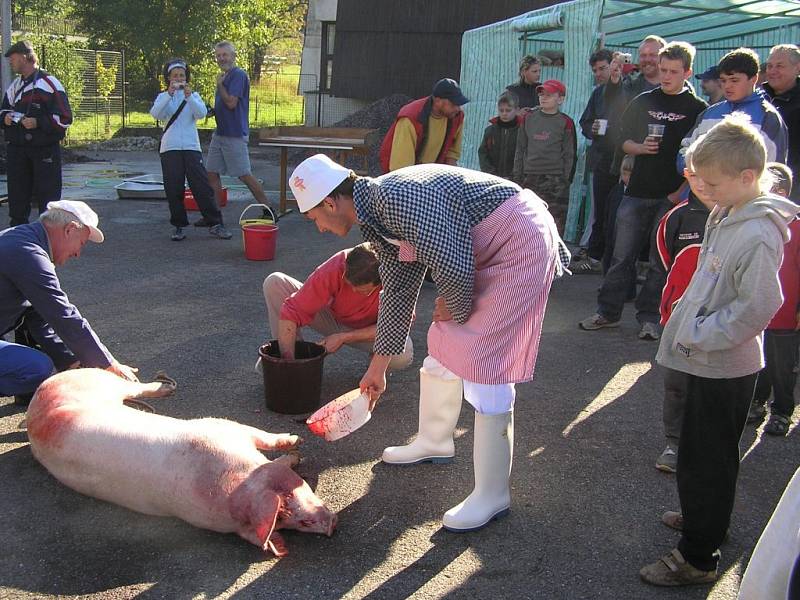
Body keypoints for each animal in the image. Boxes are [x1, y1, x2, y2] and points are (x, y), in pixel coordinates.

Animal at [25, 368, 334, 556]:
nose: (332, 524)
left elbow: (265, 440)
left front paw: (297, 444)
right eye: (296, 521)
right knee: (133, 385)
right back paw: (164, 388)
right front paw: (297, 448)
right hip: (99, 384)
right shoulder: (218, 428)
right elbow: (265, 439)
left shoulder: (221, 429)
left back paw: (165, 389)